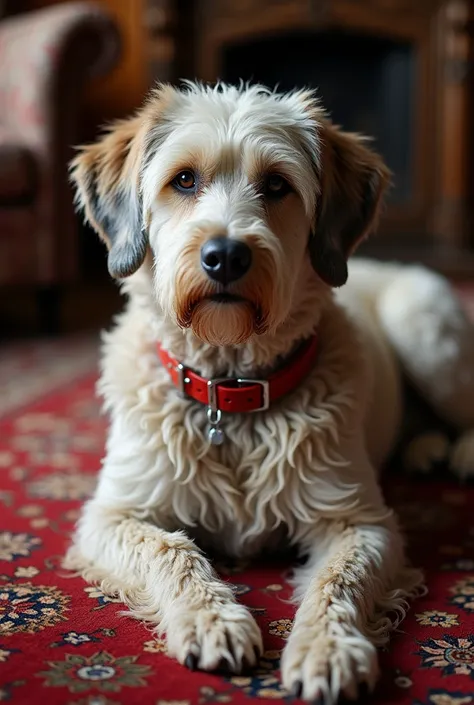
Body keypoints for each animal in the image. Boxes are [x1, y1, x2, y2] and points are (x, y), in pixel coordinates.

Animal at [65, 82, 474, 704]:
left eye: (277, 185)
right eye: (184, 179)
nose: (226, 255)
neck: (229, 389)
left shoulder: (359, 521)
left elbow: (337, 583)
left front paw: (327, 649)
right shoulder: (113, 513)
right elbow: (170, 550)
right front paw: (212, 621)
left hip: (426, 329)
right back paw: (425, 448)